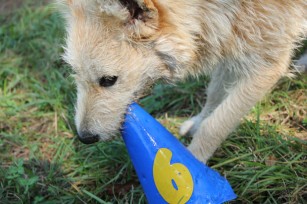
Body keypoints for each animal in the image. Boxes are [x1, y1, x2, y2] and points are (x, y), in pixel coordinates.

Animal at [57, 0, 307, 163]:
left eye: (108, 80)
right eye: (74, 73)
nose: (84, 138)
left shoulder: (266, 66)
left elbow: (214, 126)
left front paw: (193, 168)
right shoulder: (231, 43)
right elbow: (214, 95)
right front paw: (197, 122)